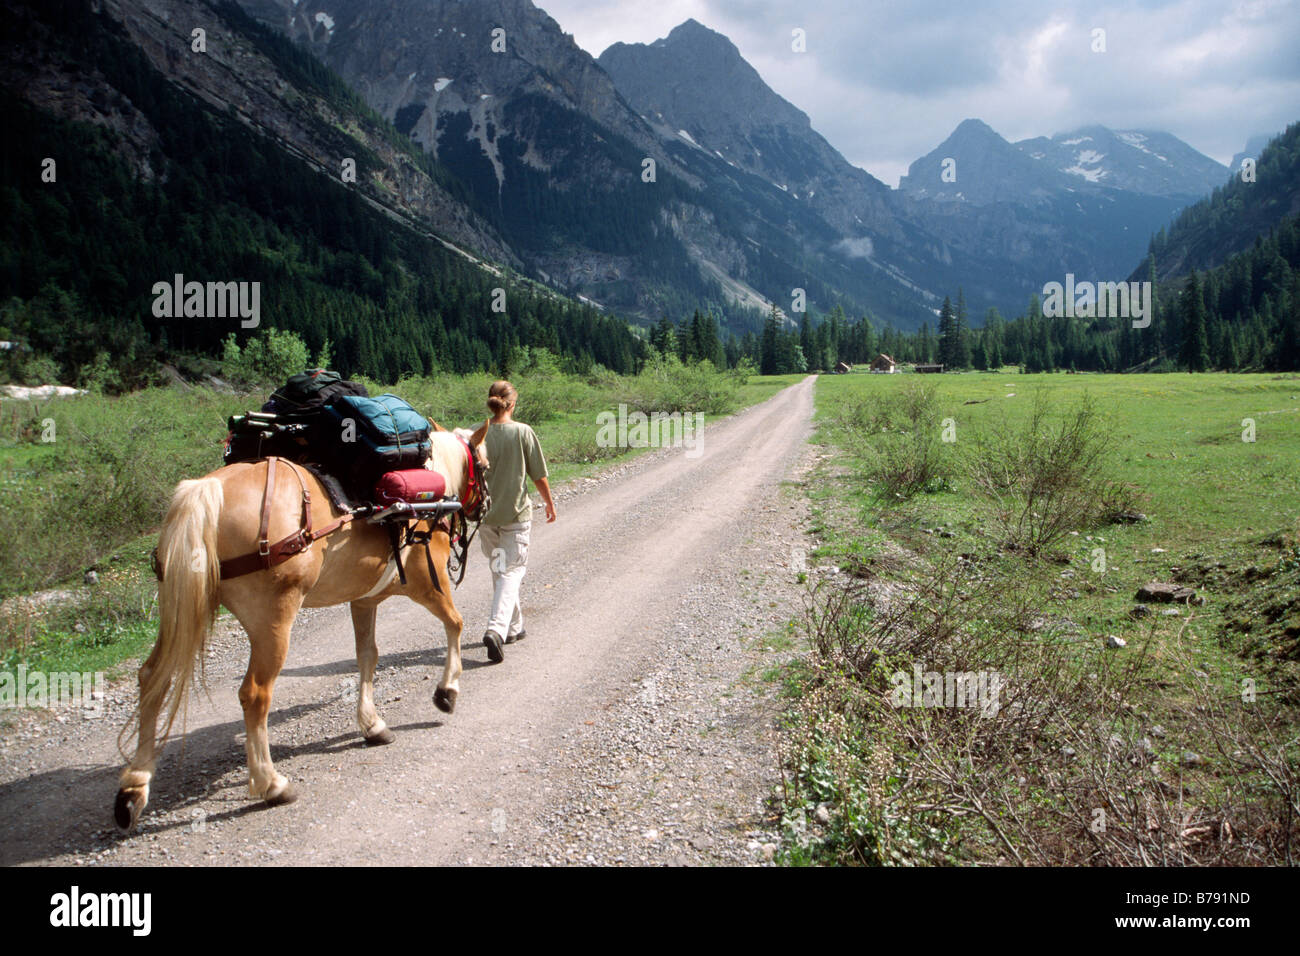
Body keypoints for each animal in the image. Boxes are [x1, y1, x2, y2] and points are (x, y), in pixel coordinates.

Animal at [110, 421, 488, 832]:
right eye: (484, 466)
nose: (483, 506)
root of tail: (207, 489)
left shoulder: (363, 600)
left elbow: (367, 657)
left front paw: (372, 724)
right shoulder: (428, 582)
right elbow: (455, 624)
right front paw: (447, 692)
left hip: (178, 610)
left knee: (153, 679)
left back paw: (133, 788)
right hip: (273, 622)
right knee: (255, 693)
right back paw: (270, 784)